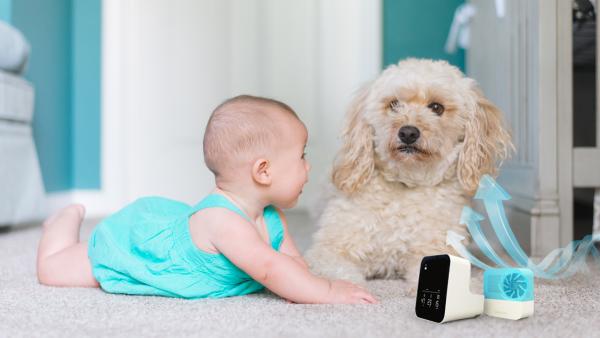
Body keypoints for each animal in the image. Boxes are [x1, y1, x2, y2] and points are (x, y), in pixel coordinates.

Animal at [308, 58, 512, 294]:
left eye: (436, 107)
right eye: (394, 104)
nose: (408, 132)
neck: (406, 183)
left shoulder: (434, 250)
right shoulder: (330, 249)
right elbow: (340, 272)